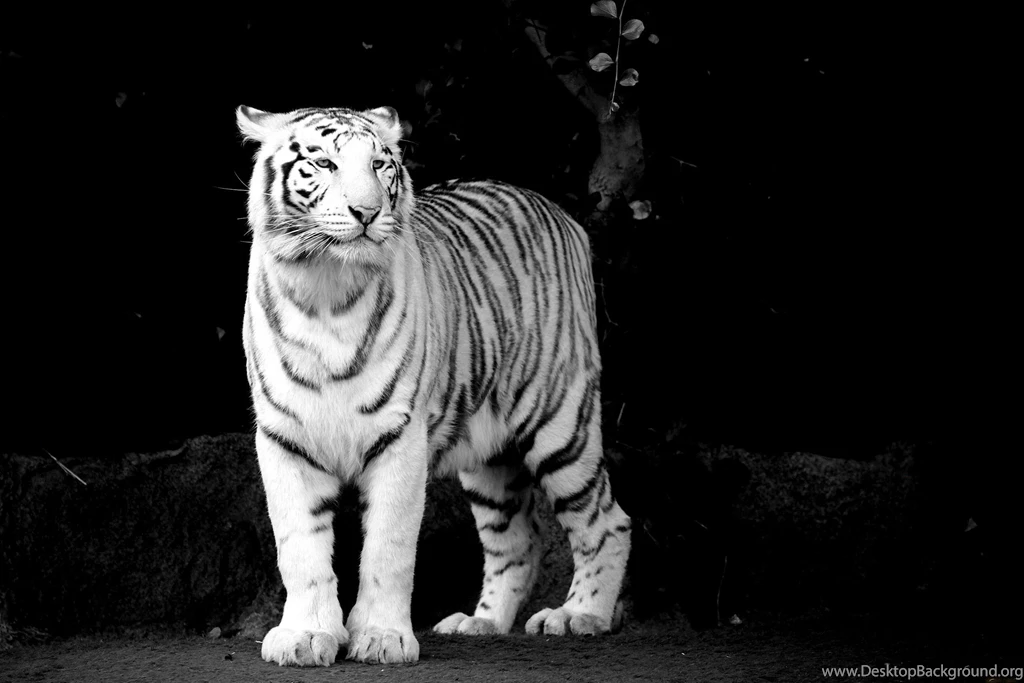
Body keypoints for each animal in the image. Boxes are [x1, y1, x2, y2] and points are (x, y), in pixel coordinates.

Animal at [236, 104, 632, 667]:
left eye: (380, 165)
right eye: (324, 163)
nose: (367, 212)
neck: (326, 291)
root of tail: (560, 213)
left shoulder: (400, 436)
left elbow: (389, 547)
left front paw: (382, 637)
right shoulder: (284, 438)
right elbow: (300, 548)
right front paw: (305, 636)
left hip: (560, 423)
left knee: (607, 520)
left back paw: (579, 615)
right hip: (490, 458)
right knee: (518, 541)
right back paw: (481, 622)